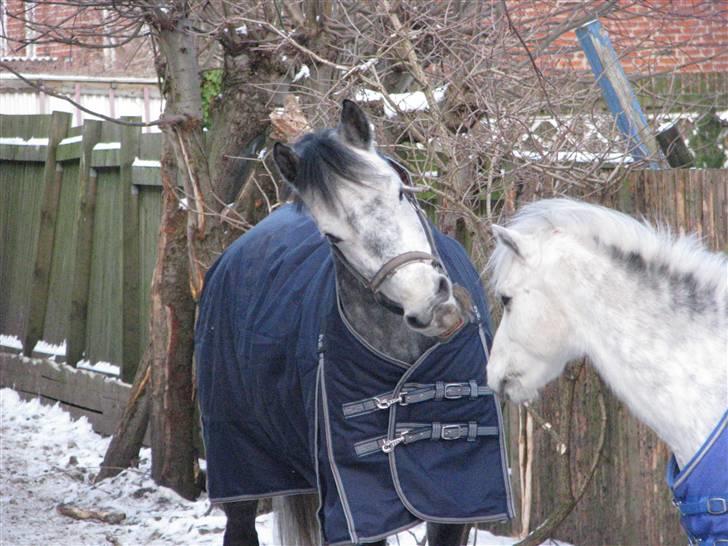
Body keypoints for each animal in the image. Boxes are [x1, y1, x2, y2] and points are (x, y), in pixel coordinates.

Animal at [195, 100, 513, 546]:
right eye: (333, 235)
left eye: (400, 191)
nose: (431, 303)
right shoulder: (359, 509)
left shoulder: (455, 503)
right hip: (243, 469)